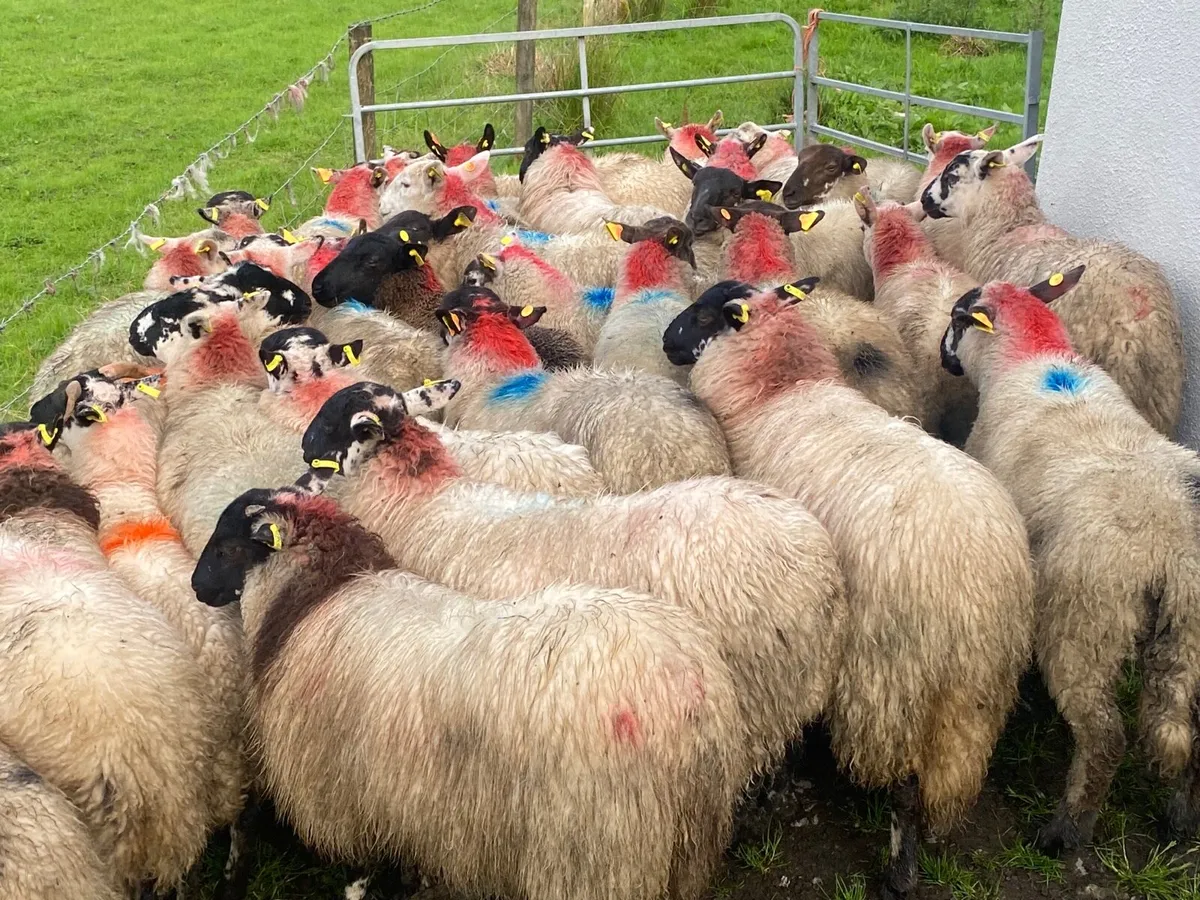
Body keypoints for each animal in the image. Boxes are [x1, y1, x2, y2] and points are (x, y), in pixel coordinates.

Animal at [191, 484, 749, 900]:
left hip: (595, 848)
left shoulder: (343, 786)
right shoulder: (398, 790)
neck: (315, 596)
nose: (197, 587)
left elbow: (360, 867)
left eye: (226, 546)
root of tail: (683, 680)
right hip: (687, 837)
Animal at [671, 279, 1035, 899]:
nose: (667, 342)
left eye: (702, 315)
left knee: (906, 787)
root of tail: (976, 580)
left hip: (895, 681)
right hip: (976, 690)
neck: (782, 390)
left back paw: (898, 874)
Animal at [939, 268, 1200, 850]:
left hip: (1086, 621)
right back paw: (1181, 815)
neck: (1032, 357)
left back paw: (1066, 831)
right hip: (1190, 632)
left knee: (1103, 735)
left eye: (957, 319)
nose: (945, 359)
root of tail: (1171, 549)